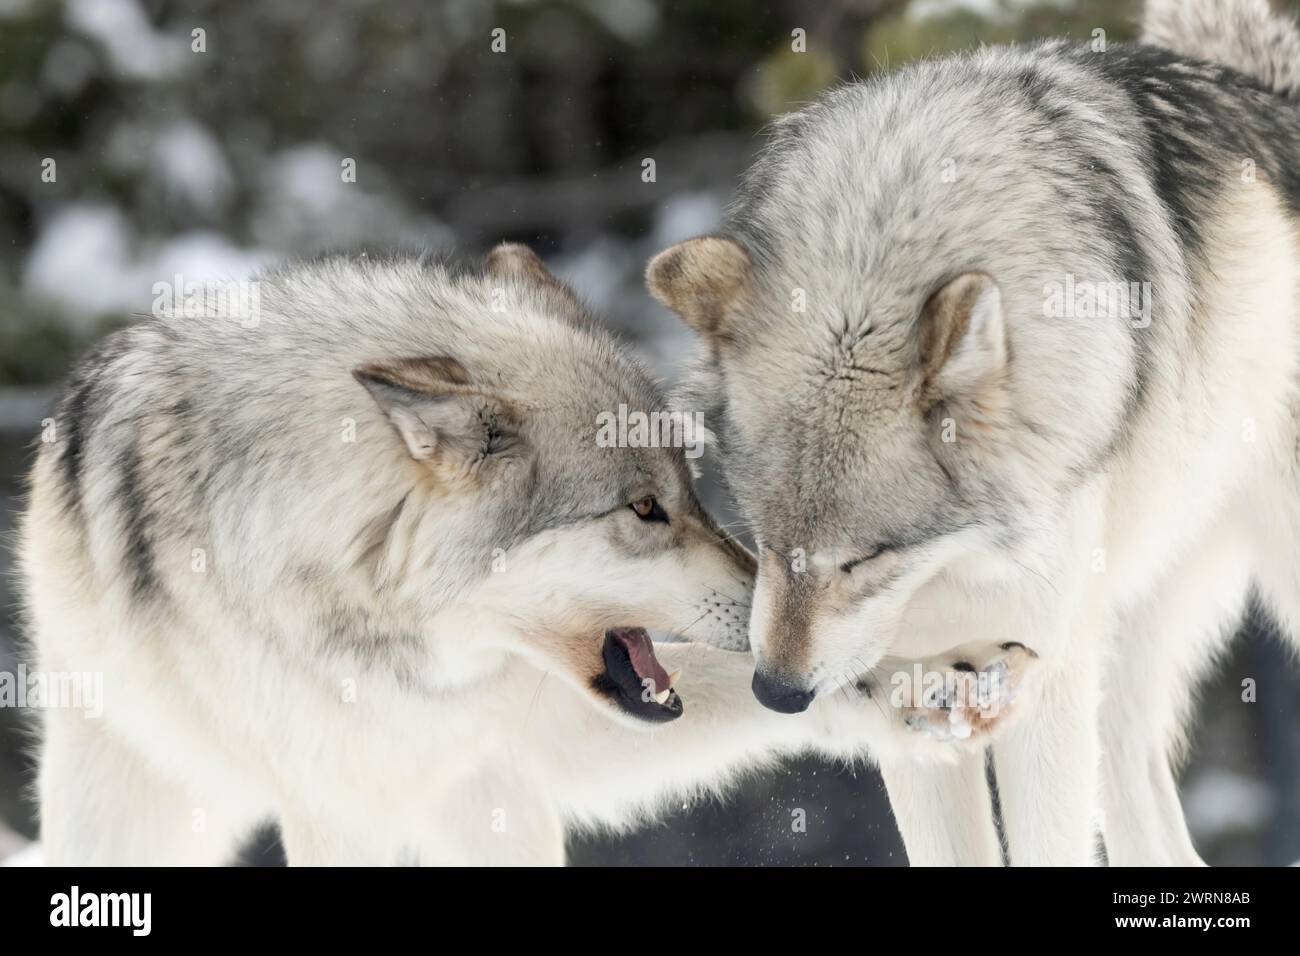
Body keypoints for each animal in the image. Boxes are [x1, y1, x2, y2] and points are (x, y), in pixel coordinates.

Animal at [18, 242, 1029, 865]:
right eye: (643, 509)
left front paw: (933, 684)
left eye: (691, 491)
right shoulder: (344, 808)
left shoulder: (526, 743)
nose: (763, 608)